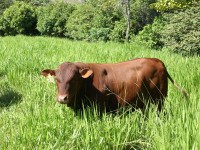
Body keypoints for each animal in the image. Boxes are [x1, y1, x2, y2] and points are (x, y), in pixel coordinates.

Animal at [41, 58, 188, 113]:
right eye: (57, 79)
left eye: (74, 79)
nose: (62, 98)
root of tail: (157, 60)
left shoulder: (99, 108)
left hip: (159, 100)